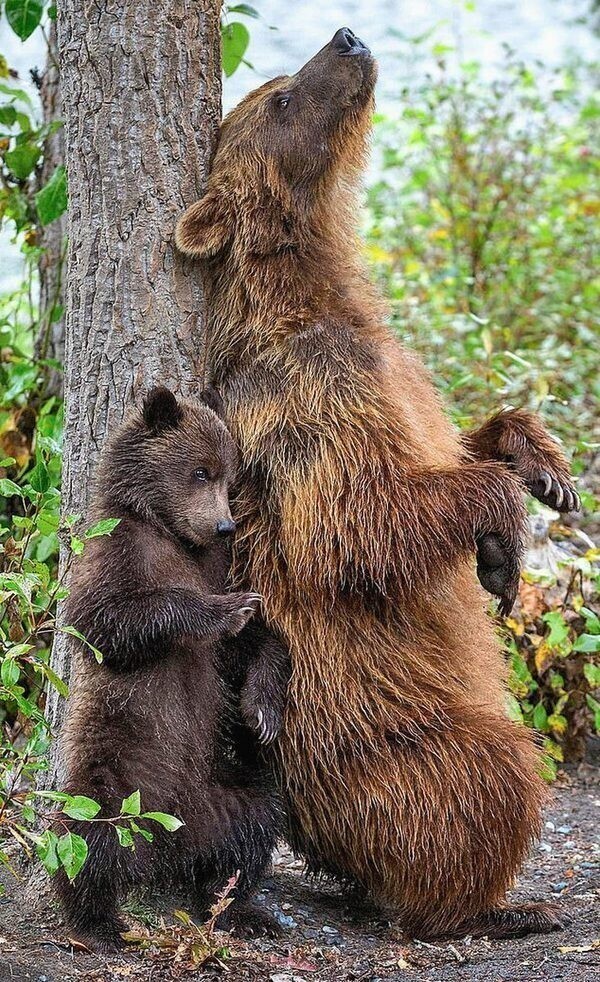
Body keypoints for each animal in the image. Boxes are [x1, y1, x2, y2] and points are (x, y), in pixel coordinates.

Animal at [176, 28, 580, 936]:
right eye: (282, 97)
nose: (348, 38)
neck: (318, 295)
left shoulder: (396, 371)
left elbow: (457, 442)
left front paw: (543, 469)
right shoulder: (304, 404)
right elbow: (356, 524)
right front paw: (502, 541)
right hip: (388, 737)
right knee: (494, 771)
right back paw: (492, 906)